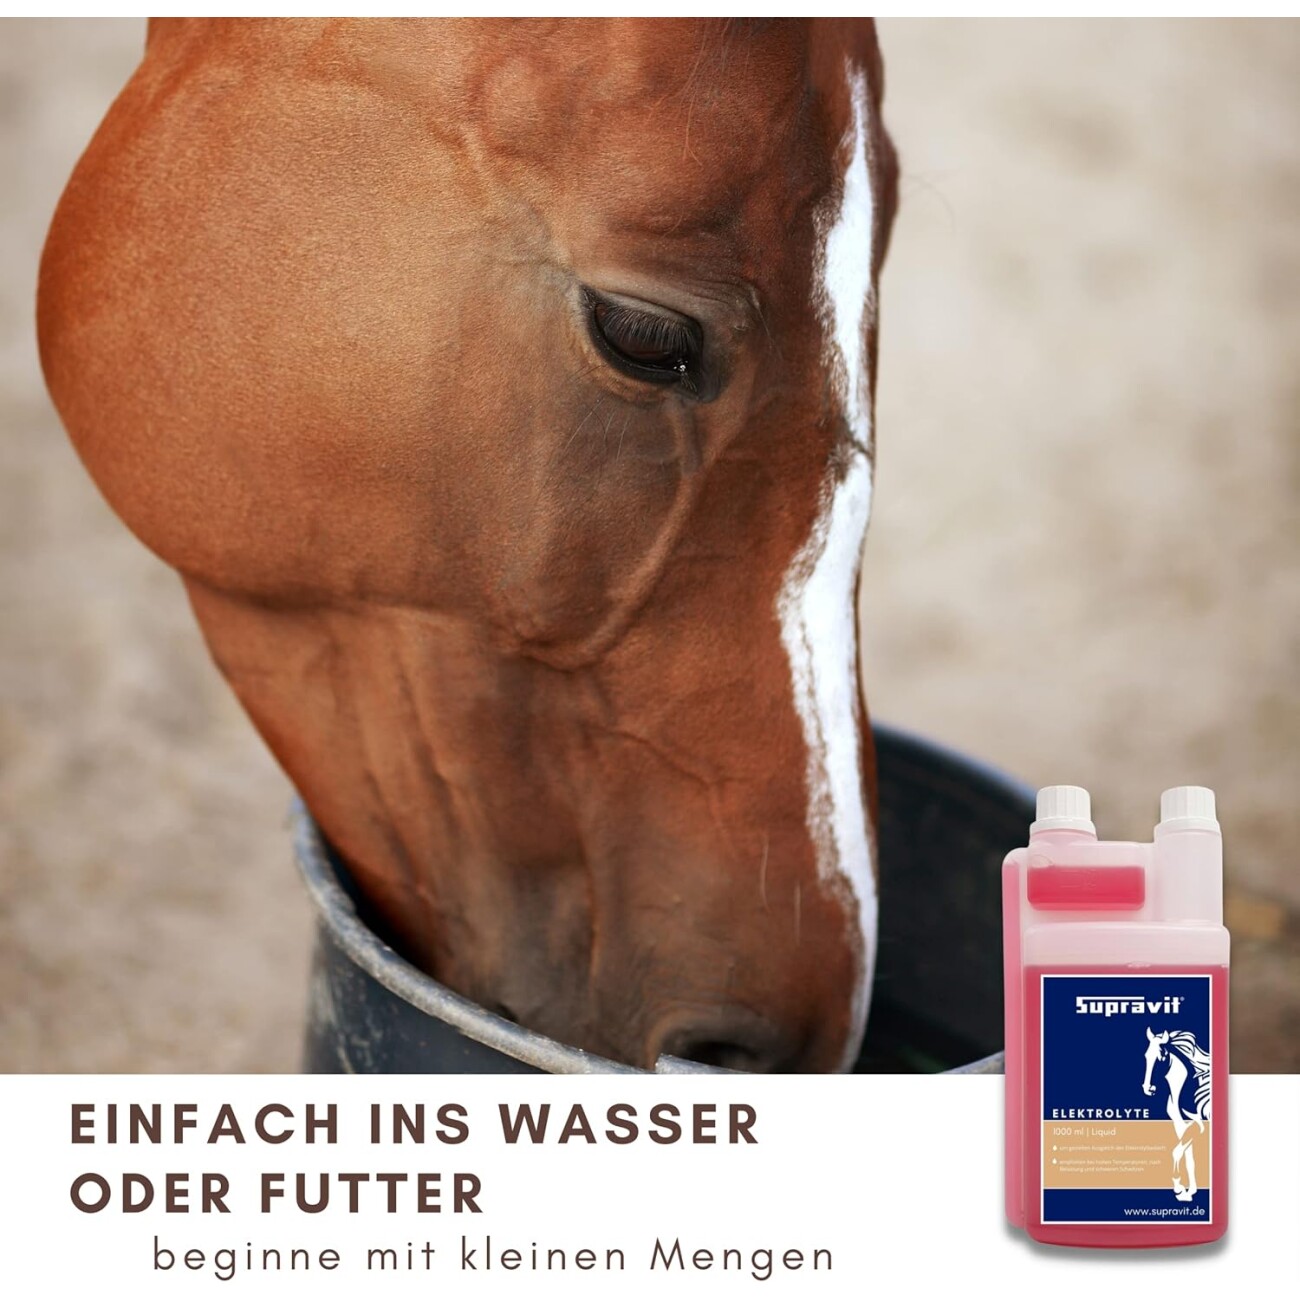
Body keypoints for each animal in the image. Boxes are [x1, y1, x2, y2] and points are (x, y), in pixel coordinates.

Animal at [1142, 1027, 1212, 1201]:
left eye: (1161, 1058)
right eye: (1146, 1056)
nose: (1148, 1088)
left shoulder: (1199, 1126)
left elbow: (1176, 1152)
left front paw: (1180, 1189)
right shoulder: (1181, 1125)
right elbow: (1189, 1159)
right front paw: (1189, 1191)